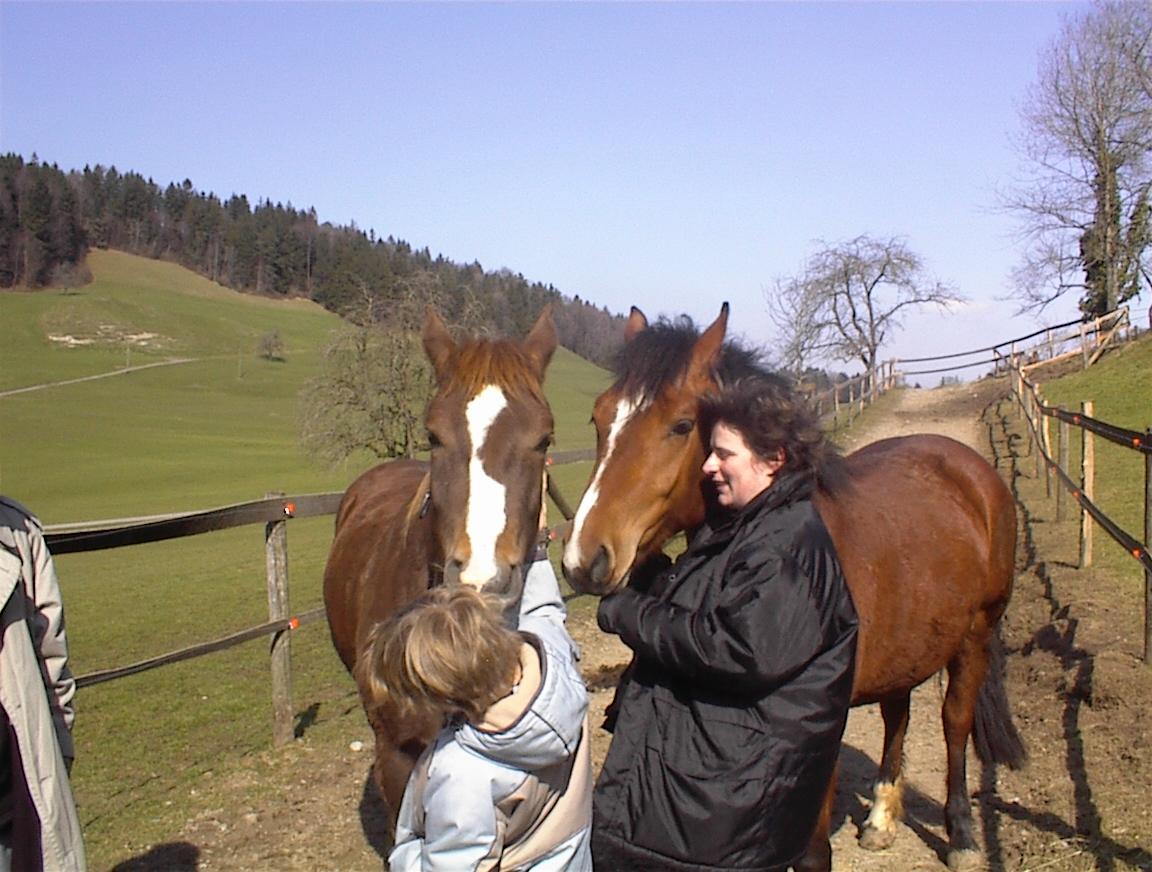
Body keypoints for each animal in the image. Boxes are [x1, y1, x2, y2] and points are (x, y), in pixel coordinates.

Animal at [562, 304, 1022, 870]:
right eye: (600, 418)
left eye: (682, 425)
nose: (583, 558)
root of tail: (968, 468)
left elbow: (813, 853)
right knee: (897, 713)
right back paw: (881, 817)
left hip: (976, 635)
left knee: (955, 721)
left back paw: (960, 833)